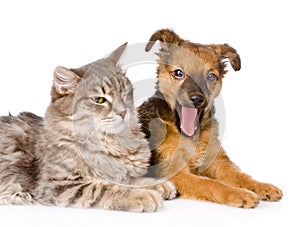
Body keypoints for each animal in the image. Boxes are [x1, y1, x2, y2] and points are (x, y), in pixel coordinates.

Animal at [0, 43, 176, 212]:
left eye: (124, 93)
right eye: (99, 100)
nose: (123, 112)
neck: (113, 143)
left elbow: (132, 179)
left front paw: (160, 185)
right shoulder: (59, 185)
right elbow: (105, 189)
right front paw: (144, 195)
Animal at [139, 29, 282, 208]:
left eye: (211, 76)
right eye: (178, 73)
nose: (197, 99)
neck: (192, 136)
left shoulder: (218, 163)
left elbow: (241, 175)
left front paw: (262, 186)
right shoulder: (175, 171)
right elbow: (210, 184)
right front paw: (239, 194)